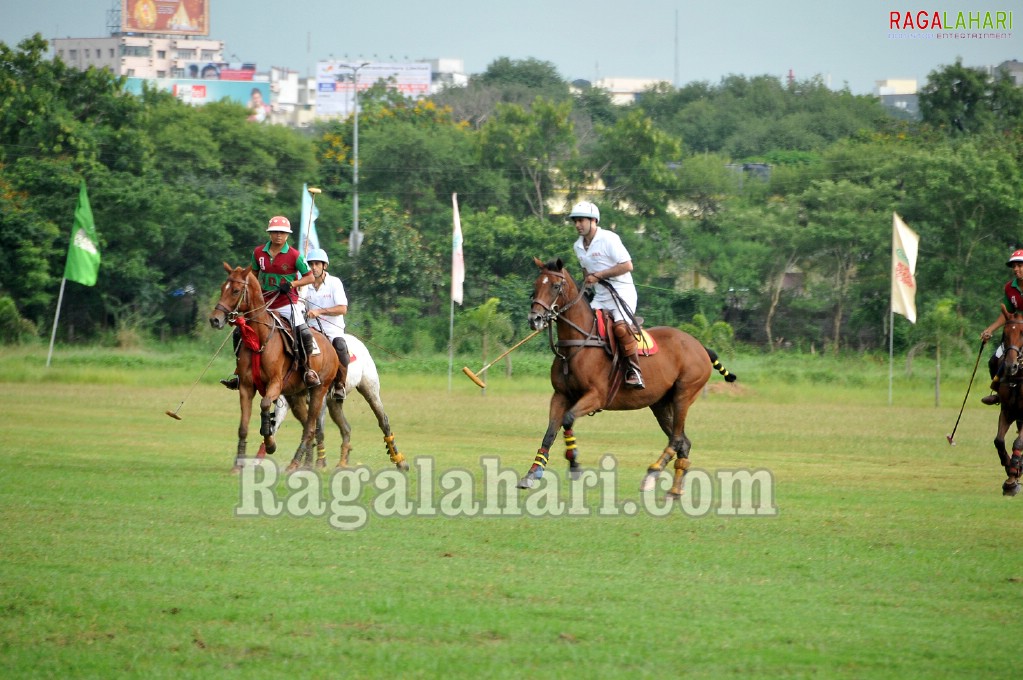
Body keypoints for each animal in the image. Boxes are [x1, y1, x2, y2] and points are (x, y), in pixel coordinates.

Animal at [519, 257, 736, 496]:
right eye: (536, 285)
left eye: (556, 286)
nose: (535, 319)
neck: (577, 344)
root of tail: (701, 347)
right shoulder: (560, 395)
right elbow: (550, 432)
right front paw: (532, 474)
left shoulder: (596, 396)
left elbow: (567, 419)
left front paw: (574, 463)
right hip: (661, 404)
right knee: (683, 442)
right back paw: (674, 491)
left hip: (684, 394)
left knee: (677, 438)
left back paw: (652, 474)